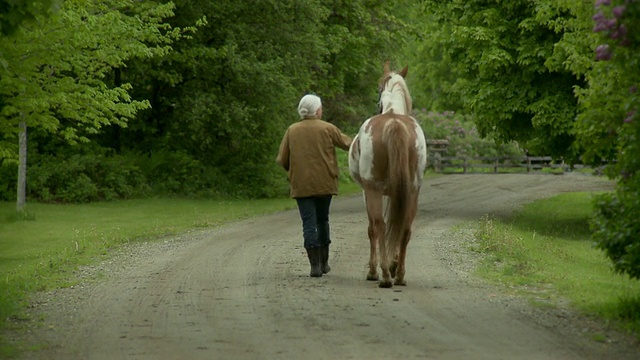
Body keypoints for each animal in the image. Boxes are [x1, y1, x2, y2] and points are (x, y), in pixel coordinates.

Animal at [348, 61, 428, 286]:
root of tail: (394, 123)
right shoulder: (396, 193)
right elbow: (396, 222)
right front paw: (393, 264)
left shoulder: (368, 192)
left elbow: (372, 229)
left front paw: (373, 269)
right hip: (413, 191)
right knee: (405, 227)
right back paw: (398, 274)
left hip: (374, 190)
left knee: (379, 226)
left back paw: (383, 274)